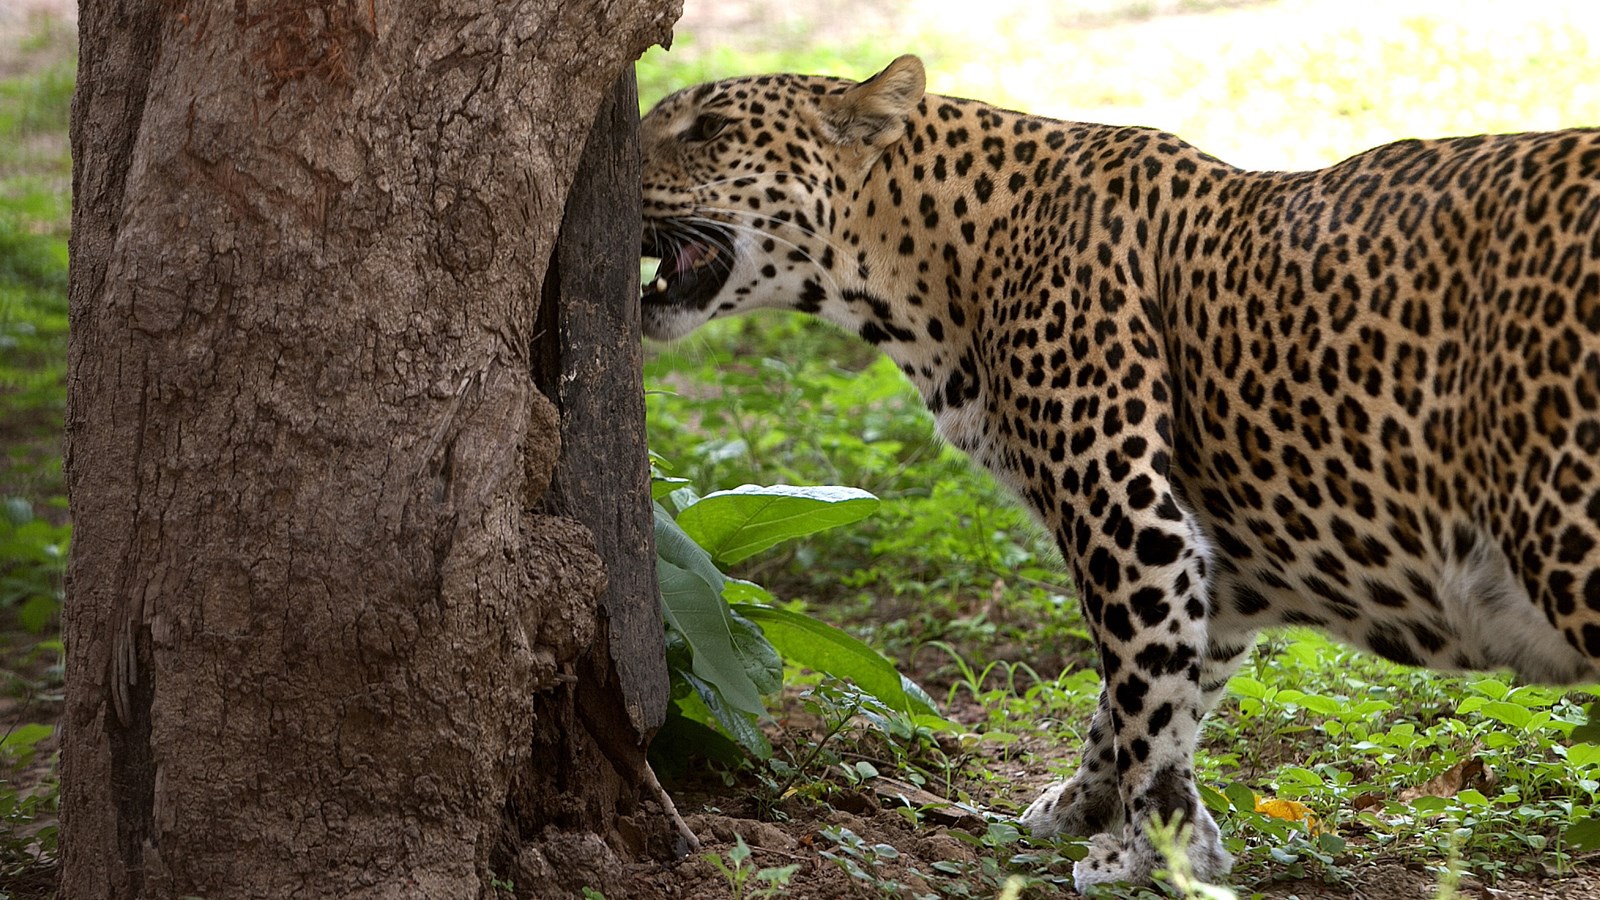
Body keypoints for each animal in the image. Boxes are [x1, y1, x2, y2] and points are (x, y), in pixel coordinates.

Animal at [638, 54, 1600, 889]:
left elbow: (1141, 693)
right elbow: (1149, 693)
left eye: (707, 128)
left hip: (1563, 525)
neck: (936, 260)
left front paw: (1146, 849)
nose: (616, 178)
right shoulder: (1212, 561)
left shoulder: (1130, 517)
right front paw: (1094, 811)